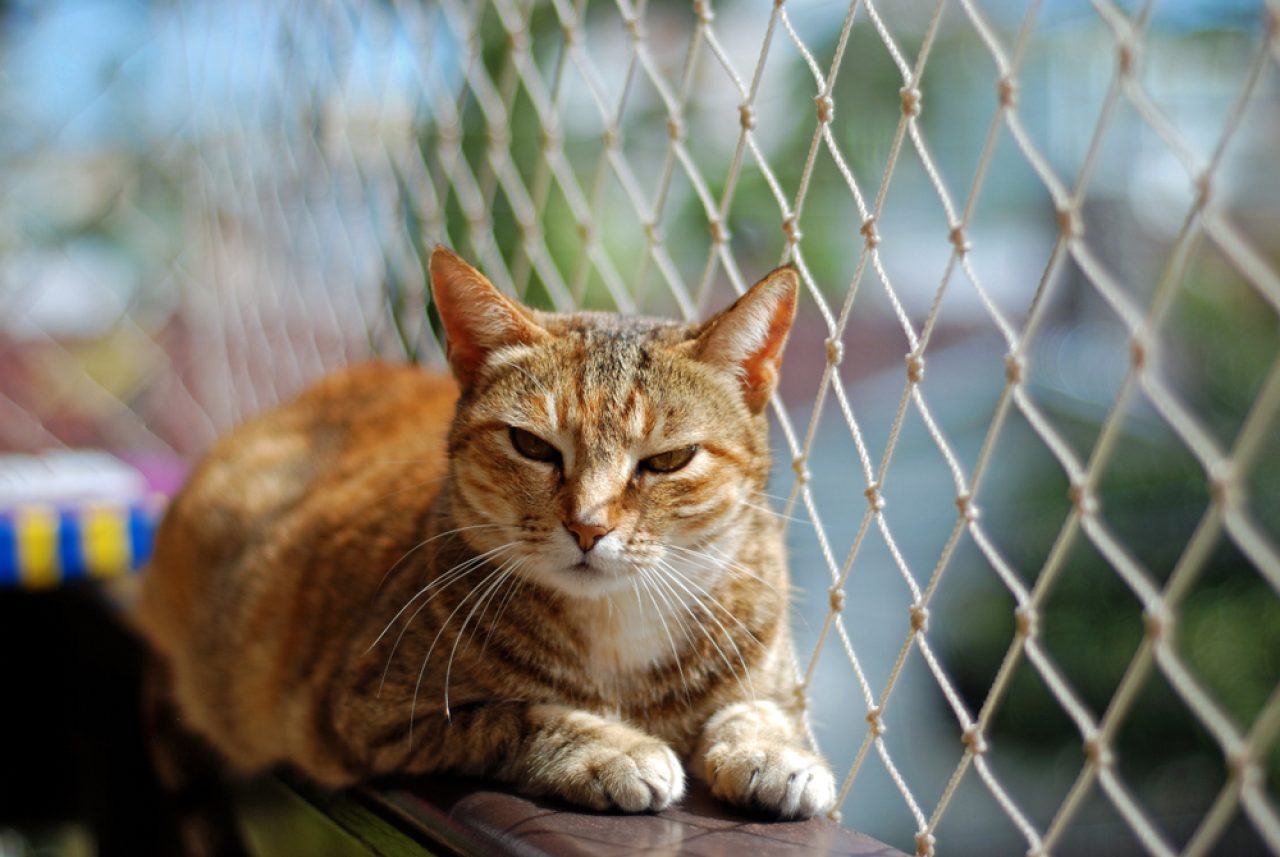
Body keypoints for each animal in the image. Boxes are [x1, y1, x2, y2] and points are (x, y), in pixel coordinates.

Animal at [137, 245, 839, 823]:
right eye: (532, 446)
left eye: (668, 460)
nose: (588, 526)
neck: (618, 632)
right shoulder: (366, 713)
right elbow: (518, 715)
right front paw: (609, 747)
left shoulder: (768, 667)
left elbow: (761, 708)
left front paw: (775, 752)